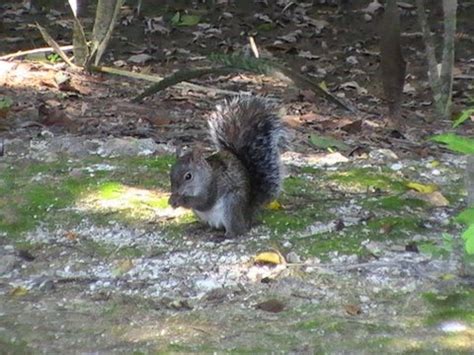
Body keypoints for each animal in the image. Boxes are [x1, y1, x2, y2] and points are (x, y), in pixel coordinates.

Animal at [169, 96, 286, 238]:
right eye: (171, 173)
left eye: (188, 176)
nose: (176, 191)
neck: (205, 176)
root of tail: (247, 215)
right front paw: (172, 199)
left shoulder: (212, 187)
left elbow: (204, 202)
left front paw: (180, 200)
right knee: (213, 226)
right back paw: (200, 227)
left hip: (231, 205)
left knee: (237, 230)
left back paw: (224, 235)